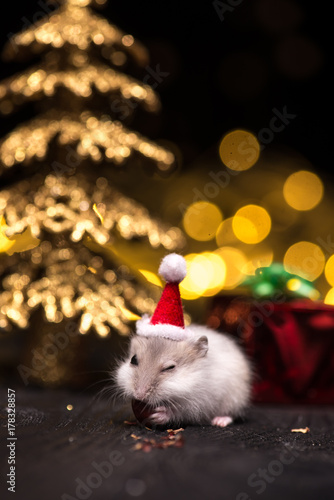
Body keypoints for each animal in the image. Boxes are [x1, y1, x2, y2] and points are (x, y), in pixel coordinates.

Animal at [116, 326, 252, 428]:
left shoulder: (199, 403)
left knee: (231, 414)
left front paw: (157, 416)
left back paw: (219, 422)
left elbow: (179, 411)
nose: (139, 395)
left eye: (169, 367)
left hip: (235, 400)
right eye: (133, 360)